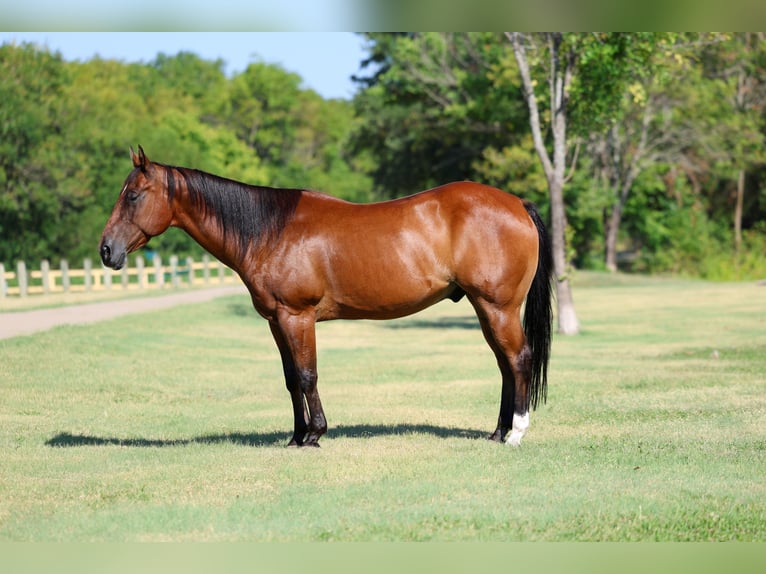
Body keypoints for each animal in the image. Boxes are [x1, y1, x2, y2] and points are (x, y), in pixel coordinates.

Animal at [99, 146, 553, 447]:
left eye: (133, 195)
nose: (106, 250)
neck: (269, 231)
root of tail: (517, 203)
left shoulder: (297, 317)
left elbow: (307, 375)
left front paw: (315, 434)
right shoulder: (277, 321)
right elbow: (289, 379)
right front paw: (296, 436)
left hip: (498, 307)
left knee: (518, 359)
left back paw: (516, 433)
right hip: (487, 309)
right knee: (504, 364)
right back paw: (497, 432)